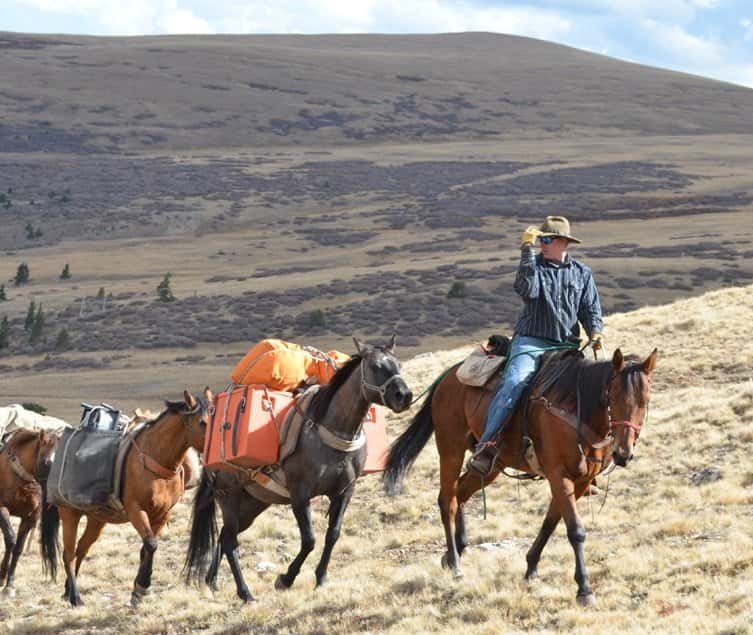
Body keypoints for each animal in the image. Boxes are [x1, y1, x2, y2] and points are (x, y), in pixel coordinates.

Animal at [0, 430, 60, 600]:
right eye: (46, 462)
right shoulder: (2, 509)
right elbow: (10, 539)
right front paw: (3, 577)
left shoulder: (30, 518)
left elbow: (18, 548)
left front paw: (9, 584)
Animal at [41, 390, 212, 608]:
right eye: (202, 422)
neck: (155, 457)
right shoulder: (136, 510)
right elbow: (151, 544)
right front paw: (143, 585)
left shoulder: (163, 514)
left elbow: (146, 548)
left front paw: (138, 591)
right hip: (70, 513)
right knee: (69, 554)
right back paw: (75, 597)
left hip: (97, 519)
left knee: (81, 549)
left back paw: (67, 591)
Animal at [186, 338, 414, 600]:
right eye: (376, 366)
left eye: (399, 364)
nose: (404, 396)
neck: (333, 431)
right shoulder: (300, 494)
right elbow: (310, 540)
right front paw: (285, 579)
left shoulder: (344, 492)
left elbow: (333, 534)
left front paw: (321, 578)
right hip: (230, 498)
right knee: (230, 541)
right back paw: (245, 593)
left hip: (253, 504)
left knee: (224, 537)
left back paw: (212, 581)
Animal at [384, 348, 656, 608]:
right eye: (613, 396)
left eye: (645, 400)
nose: (623, 453)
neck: (577, 410)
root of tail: (448, 377)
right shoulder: (559, 475)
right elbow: (575, 530)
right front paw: (584, 589)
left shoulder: (581, 481)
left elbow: (550, 523)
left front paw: (531, 566)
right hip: (451, 448)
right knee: (447, 501)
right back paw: (455, 564)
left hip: (491, 465)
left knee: (460, 493)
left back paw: (457, 552)